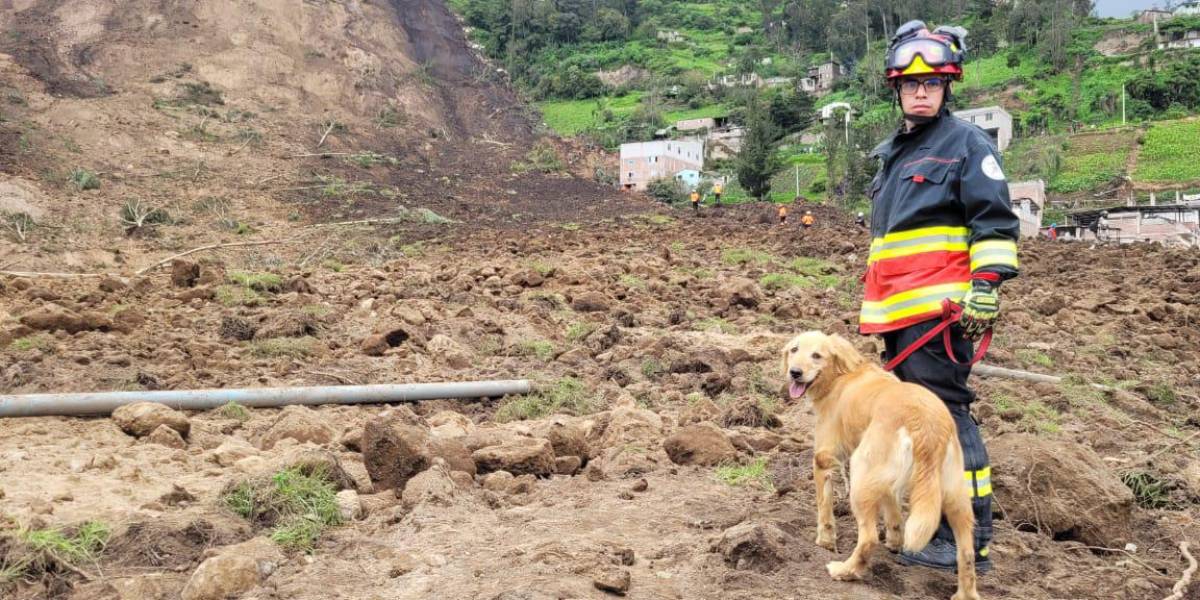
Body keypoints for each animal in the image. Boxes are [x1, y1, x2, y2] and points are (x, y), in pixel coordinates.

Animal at [782, 331, 979, 600]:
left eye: (816, 355)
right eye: (794, 349)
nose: (795, 373)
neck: (842, 374)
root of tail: (926, 424)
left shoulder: (824, 457)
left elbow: (824, 507)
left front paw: (825, 541)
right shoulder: (886, 478)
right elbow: (892, 508)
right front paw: (895, 540)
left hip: (861, 474)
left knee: (868, 539)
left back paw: (844, 570)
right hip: (955, 495)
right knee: (967, 552)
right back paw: (964, 594)